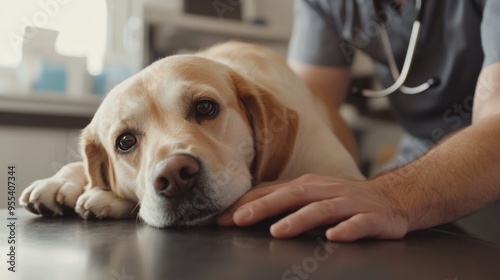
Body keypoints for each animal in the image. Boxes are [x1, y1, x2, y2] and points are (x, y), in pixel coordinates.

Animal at [19, 42, 364, 229]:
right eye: (125, 141)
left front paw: (102, 196)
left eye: (206, 108)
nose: (175, 176)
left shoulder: (341, 175)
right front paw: (61, 182)